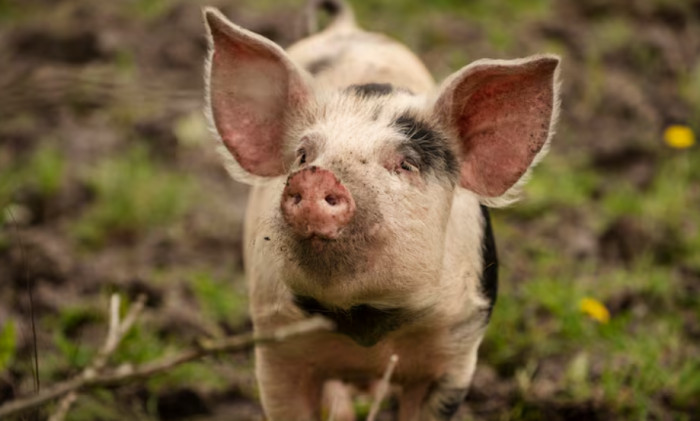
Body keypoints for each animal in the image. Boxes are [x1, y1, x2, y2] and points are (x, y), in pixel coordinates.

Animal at [202, 0, 560, 420]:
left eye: (406, 163)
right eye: (303, 155)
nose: (315, 176)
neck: (365, 323)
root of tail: (346, 27)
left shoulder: (457, 351)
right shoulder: (275, 346)